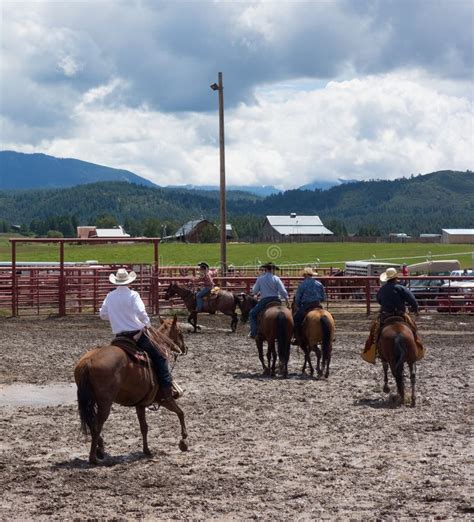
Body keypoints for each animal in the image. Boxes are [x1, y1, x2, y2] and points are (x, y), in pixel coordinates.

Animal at [74, 312, 187, 464]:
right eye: (180, 332)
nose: (184, 349)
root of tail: (88, 361)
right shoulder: (164, 398)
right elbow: (180, 412)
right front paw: (183, 440)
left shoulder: (140, 404)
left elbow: (144, 427)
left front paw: (147, 450)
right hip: (105, 403)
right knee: (97, 425)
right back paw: (94, 458)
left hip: (90, 401)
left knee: (91, 423)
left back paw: (100, 450)